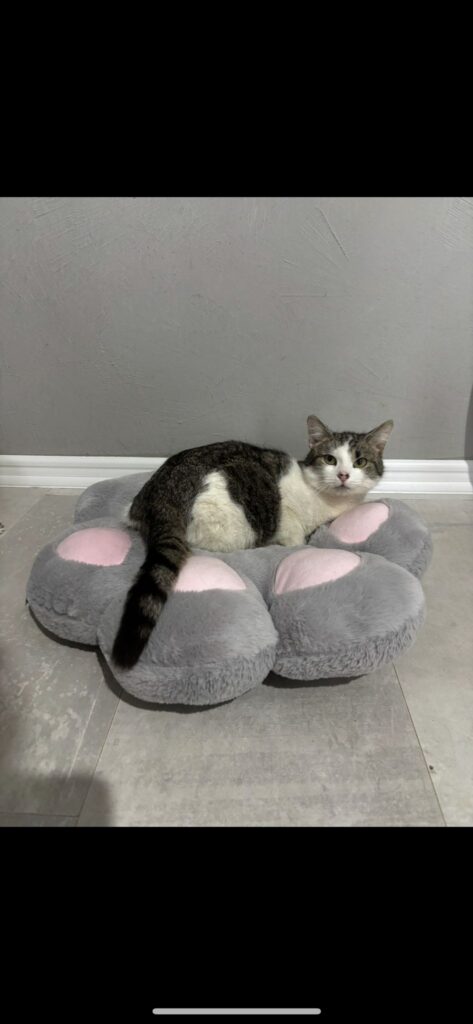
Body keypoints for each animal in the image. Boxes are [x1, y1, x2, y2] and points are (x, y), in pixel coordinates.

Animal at [112, 415, 393, 669]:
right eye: (330, 459)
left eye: (360, 462)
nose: (344, 475)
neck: (330, 503)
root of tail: (164, 493)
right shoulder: (287, 515)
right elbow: (295, 539)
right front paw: (301, 544)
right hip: (234, 519)